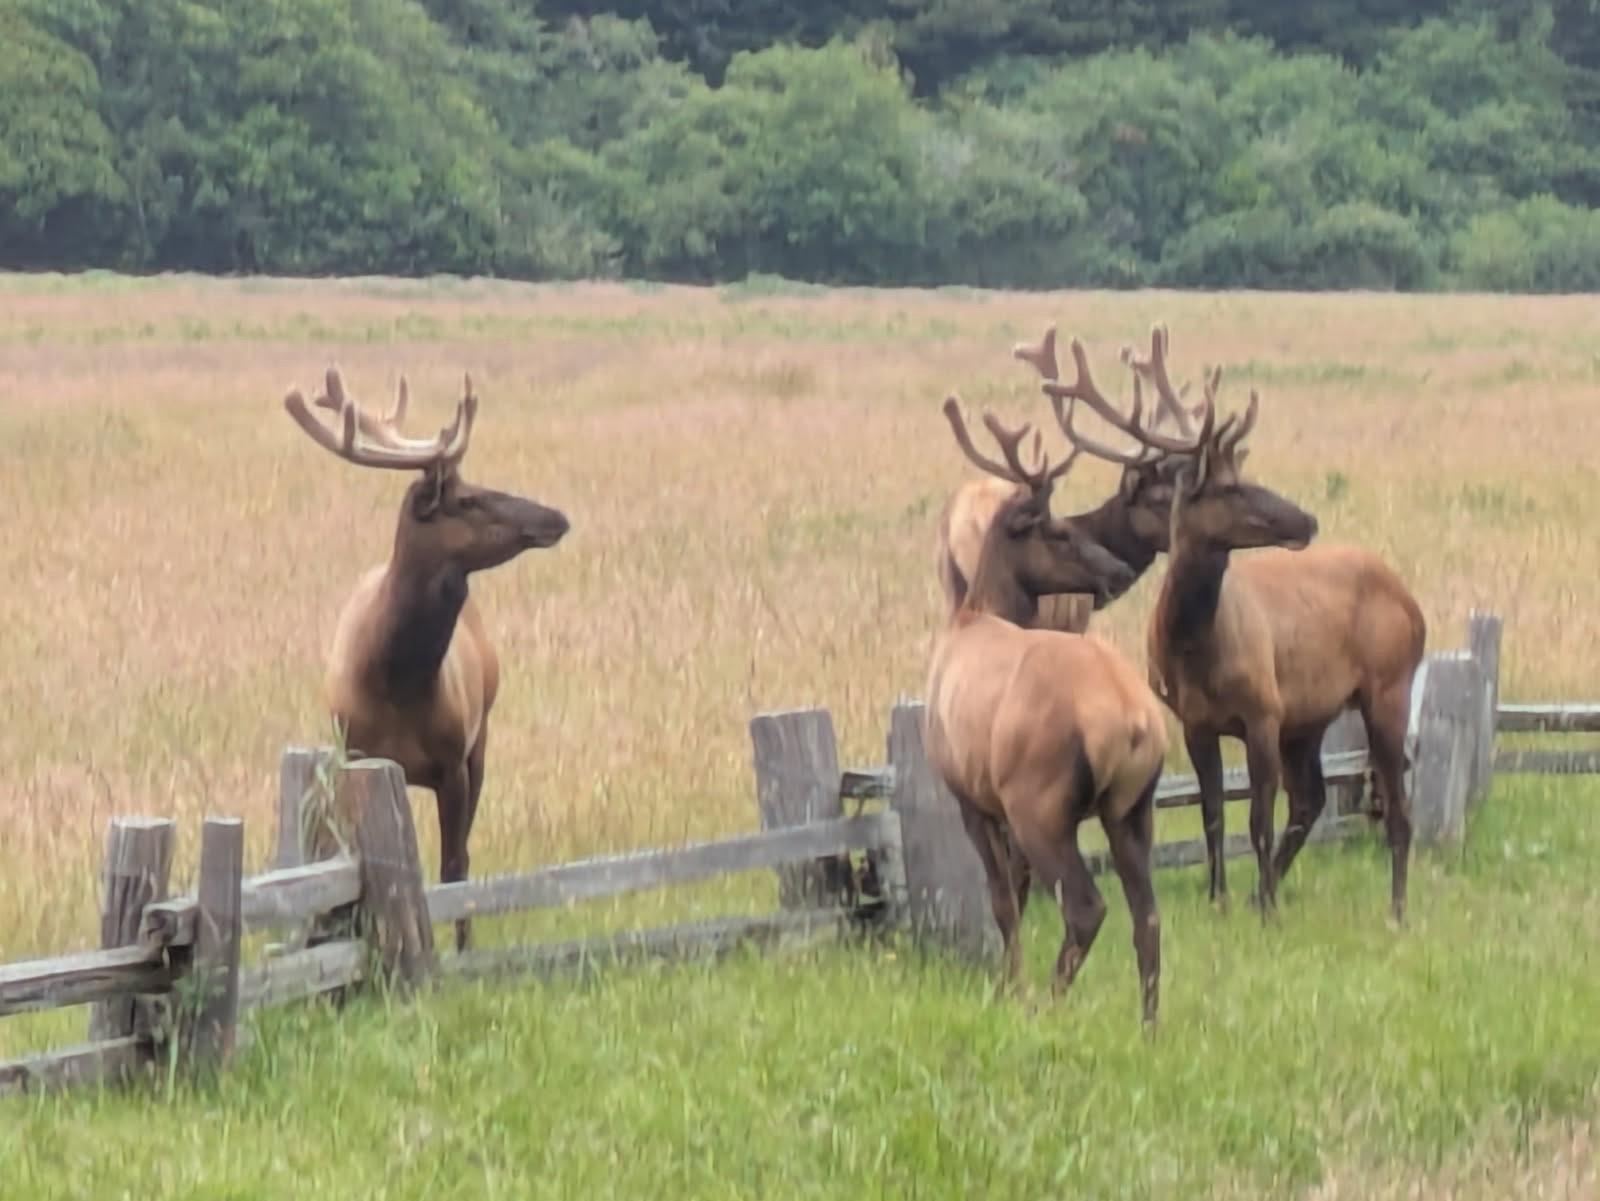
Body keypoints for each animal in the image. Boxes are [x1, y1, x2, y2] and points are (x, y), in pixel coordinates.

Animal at [283, 367, 571, 951]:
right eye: (468, 499)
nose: (558, 517)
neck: (397, 683)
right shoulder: (355, 753)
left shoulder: (453, 760)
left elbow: (453, 867)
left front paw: (461, 950)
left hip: (482, 741)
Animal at [922, 392, 1171, 1025]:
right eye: (1057, 531)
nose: (1115, 571)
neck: (970, 616)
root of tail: (1135, 725)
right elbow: (1016, 888)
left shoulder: (970, 792)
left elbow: (1002, 898)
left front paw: (1010, 988)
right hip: (1133, 807)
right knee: (1147, 914)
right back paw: (1148, 1023)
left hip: (1042, 801)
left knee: (1086, 906)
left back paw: (1048, 1006)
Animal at [1045, 327, 1426, 923]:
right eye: (1229, 488)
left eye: (1243, 475)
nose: (1306, 519)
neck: (1196, 649)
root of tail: (1414, 607)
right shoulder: (1195, 721)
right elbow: (1214, 815)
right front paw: (1221, 898)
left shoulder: (1263, 710)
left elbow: (1257, 819)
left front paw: (1268, 909)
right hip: (1310, 715)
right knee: (1312, 798)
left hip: (1387, 685)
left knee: (1398, 807)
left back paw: (1395, 910)